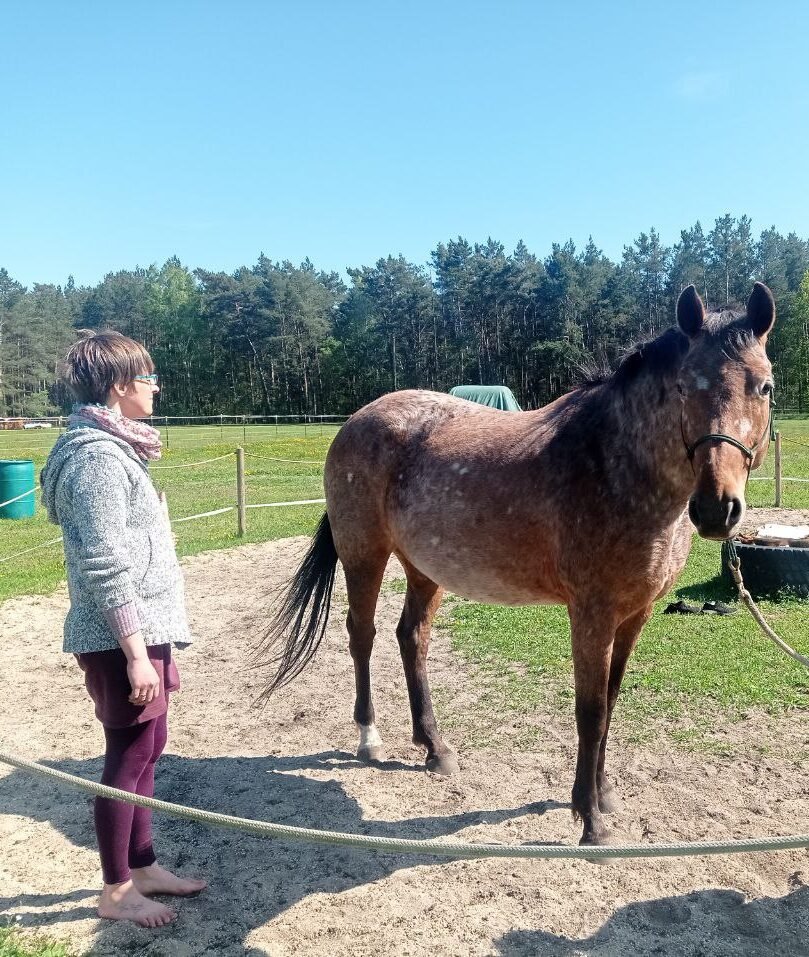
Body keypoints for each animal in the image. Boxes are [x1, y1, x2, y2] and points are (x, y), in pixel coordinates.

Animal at [258, 282, 776, 845]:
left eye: (764, 388)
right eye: (684, 387)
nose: (717, 509)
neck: (614, 465)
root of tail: (357, 420)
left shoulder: (634, 614)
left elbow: (612, 701)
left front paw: (603, 794)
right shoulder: (591, 613)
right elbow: (591, 712)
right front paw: (589, 820)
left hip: (425, 569)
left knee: (411, 637)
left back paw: (435, 748)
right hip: (364, 555)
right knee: (362, 634)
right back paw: (370, 739)